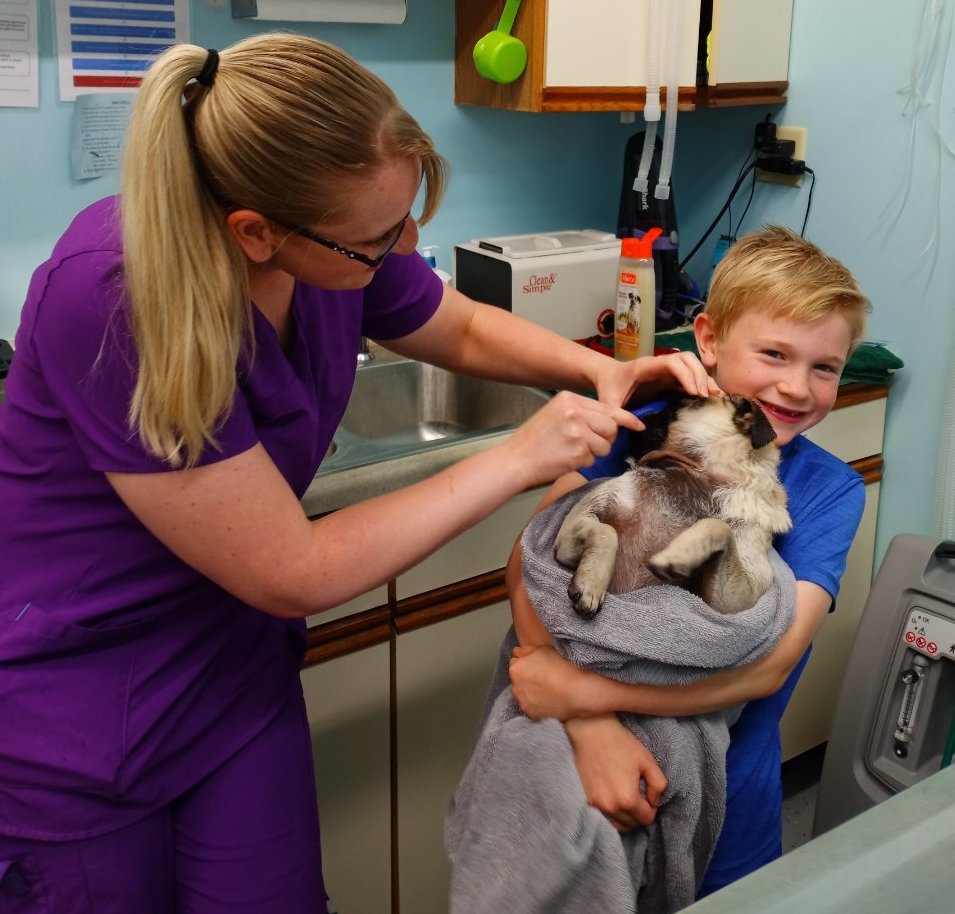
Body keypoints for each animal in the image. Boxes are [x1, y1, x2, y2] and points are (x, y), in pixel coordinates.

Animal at [448, 480, 800, 908]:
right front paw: (591, 584)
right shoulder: (573, 530)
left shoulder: (728, 598)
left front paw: (678, 555)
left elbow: (720, 529)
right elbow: (607, 532)